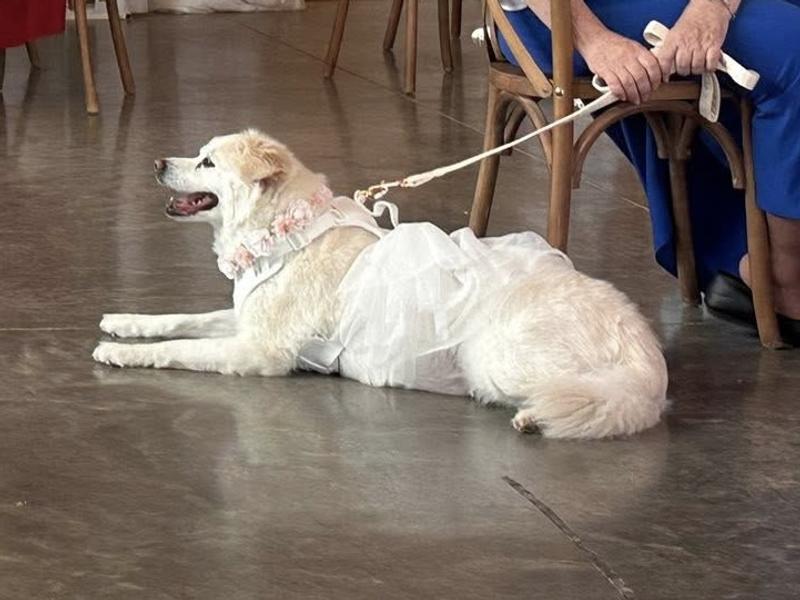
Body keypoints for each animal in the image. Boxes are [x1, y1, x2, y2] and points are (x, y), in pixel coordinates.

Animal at [93, 129, 668, 439]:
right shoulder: (243, 318)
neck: (285, 233)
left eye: (207, 161)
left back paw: (536, 416)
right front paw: (123, 322)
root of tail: (643, 348)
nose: (157, 162)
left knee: (592, 398)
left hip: (497, 356)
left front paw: (120, 353)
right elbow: (180, 319)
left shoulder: (258, 350)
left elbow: (178, 348)